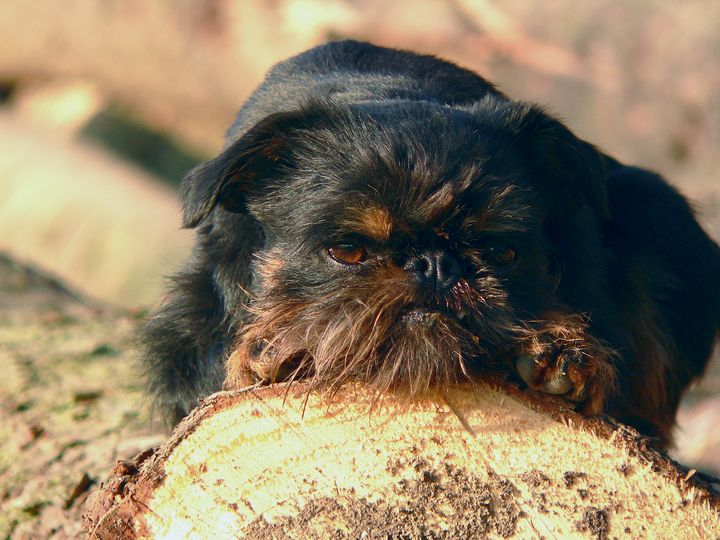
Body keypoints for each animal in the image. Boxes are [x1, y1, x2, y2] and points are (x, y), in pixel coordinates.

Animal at [142, 40, 720, 446]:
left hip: (654, 203)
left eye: (503, 253)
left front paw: (557, 353)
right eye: (347, 251)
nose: (435, 265)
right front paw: (275, 353)